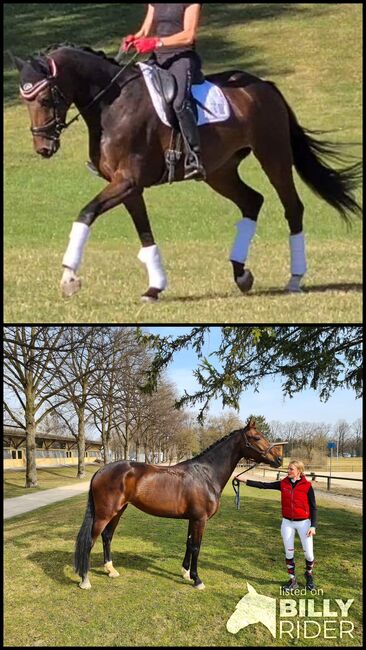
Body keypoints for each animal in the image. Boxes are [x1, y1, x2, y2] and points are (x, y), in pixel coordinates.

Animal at [14, 43, 360, 298]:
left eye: (44, 98)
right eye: (25, 100)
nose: (43, 147)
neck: (113, 104)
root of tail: (265, 86)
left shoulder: (127, 182)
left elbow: (86, 213)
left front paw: (69, 277)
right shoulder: (128, 186)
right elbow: (145, 233)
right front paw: (155, 287)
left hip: (273, 156)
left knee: (292, 208)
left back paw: (295, 278)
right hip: (220, 172)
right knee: (252, 201)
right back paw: (241, 274)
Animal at [73, 418, 282, 588]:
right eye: (256, 437)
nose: (278, 459)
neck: (206, 474)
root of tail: (101, 471)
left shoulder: (193, 519)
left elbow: (189, 544)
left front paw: (186, 573)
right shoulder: (200, 519)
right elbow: (196, 547)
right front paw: (197, 580)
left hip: (118, 511)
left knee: (107, 536)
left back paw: (111, 570)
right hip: (105, 514)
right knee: (90, 541)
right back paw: (85, 580)